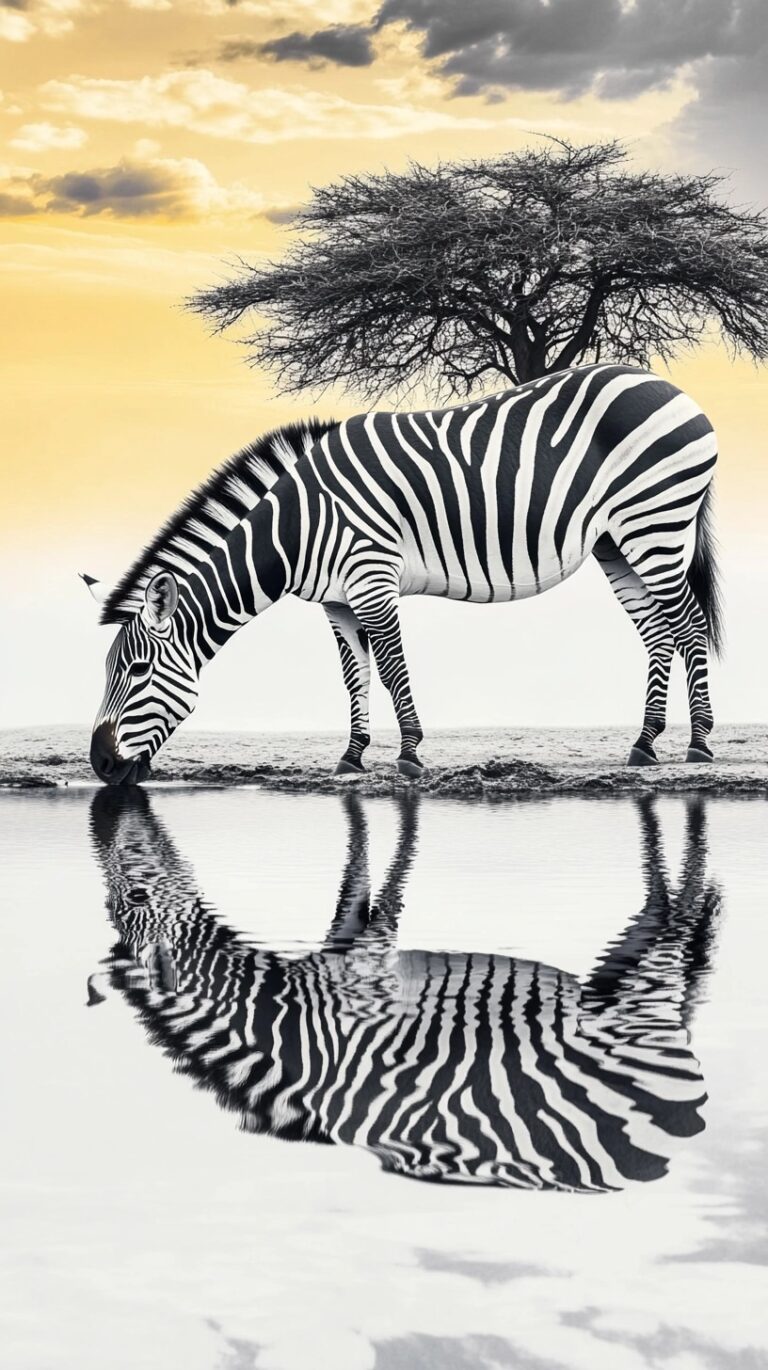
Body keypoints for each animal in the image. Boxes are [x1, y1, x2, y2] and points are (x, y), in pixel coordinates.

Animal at [83, 363, 723, 784]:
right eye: (110, 671)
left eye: (136, 671)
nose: (101, 765)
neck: (299, 526)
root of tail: (669, 386)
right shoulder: (337, 600)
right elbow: (355, 676)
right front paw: (352, 755)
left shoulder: (371, 576)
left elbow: (392, 668)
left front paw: (410, 754)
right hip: (617, 541)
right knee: (658, 631)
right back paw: (645, 743)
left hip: (656, 521)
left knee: (688, 624)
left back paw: (698, 743)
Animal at [88, 789, 720, 1190]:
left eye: (137, 897)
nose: (117, 794)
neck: (300, 1027)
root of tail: (663, 1154)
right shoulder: (344, 949)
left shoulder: (366, 974)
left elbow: (386, 885)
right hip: (618, 974)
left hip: (638, 998)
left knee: (680, 920)